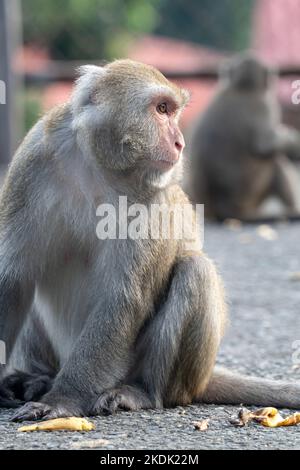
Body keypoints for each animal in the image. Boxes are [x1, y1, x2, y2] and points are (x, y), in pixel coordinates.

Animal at [0, 58, 300, 422]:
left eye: (172, 111)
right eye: (162, 109)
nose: (180, 142)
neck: (101, 167)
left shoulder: (151, 199)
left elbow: (124, 299)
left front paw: (64, 399)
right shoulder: (35, 160)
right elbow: (14, 279)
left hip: (161, 375)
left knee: (194, 270)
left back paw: (143, 391)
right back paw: (35, 378)